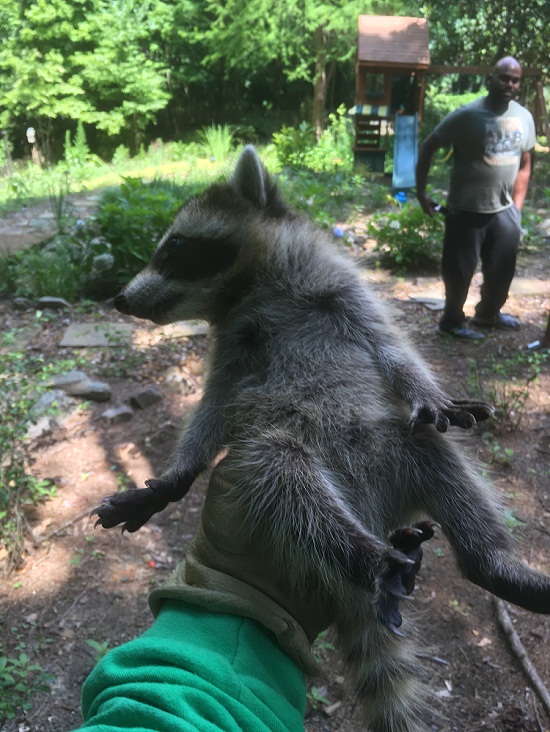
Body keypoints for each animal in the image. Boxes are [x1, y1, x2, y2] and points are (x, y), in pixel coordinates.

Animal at [94, 146, 550, 728]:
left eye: (174, 248)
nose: (120, 299)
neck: (251, 287)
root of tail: (371, 509)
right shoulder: (233, 346)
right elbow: (215, 407)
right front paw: (178, 472)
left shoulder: (343, 290)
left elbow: (394, 351)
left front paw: (425, 388)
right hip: (291, 457)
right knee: (283, 478)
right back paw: (369, 558)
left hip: (398, 445)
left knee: (436, 454)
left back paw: (492, 563)